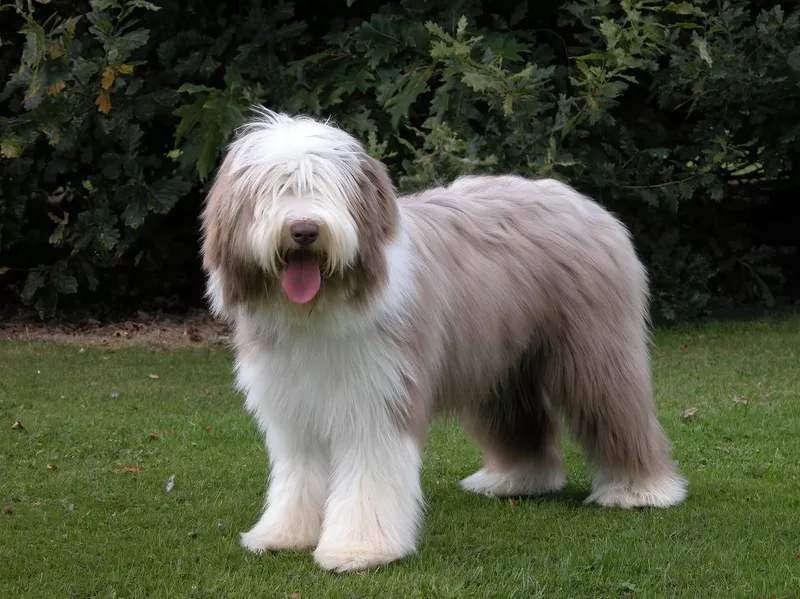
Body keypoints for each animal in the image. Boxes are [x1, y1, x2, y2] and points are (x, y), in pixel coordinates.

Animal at [200, 106, 688, 572]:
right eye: (274, 189)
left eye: (326, 187)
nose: (304, 230)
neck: (319, 311)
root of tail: (580, 201)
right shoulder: (291, 406)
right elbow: (298, 475)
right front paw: (284, 535)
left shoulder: (380, 397)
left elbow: (369, 477)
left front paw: (360, 549)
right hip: (502, 363)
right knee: (520, 417)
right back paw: (515, 479)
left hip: (594, 351)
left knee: (615, 409)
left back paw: (641, 490)